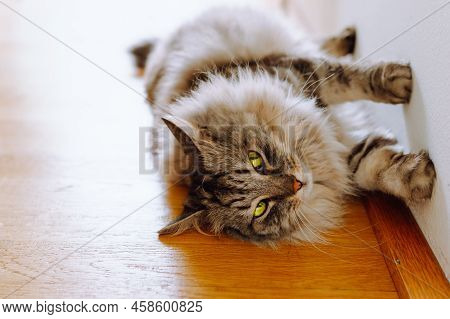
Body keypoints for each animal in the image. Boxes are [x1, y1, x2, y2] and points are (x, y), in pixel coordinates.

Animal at [133, 5, 436, 245]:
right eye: (261, 209)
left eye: (256, 161)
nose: (297, 184)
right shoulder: (342, 155)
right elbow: (375, 166)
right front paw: (420, 178)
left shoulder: (301, 73)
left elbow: (353, 78)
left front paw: (400, 81)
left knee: (317, 42)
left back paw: (347, 36)